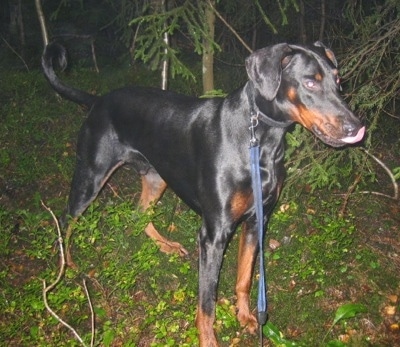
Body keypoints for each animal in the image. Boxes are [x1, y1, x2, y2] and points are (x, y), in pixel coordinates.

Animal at [43, 42, 366, 346]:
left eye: (339, 80)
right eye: (310, 82)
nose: (357, 127)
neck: (260, 141)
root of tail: (98, 100)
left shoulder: (256, 221)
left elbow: (244, 278)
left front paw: (245, 316)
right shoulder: (213, 233)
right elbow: (207, 303)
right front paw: (209, 339)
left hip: (157, 176)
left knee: (139, 214)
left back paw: (165, 245)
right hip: (91, 176)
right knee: (67, 220)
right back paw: (68, 268)